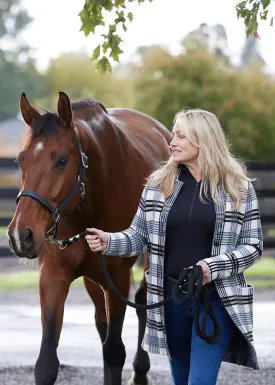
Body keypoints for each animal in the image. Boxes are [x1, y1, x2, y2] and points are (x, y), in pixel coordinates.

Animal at [7, 92, 171, 384]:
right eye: (21, 160)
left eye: (62, 160)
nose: (20, 235)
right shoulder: (53, 275)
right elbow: (46, 363)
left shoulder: (117, 277)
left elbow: (114, 352)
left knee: (143, 300)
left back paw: (141, 371)